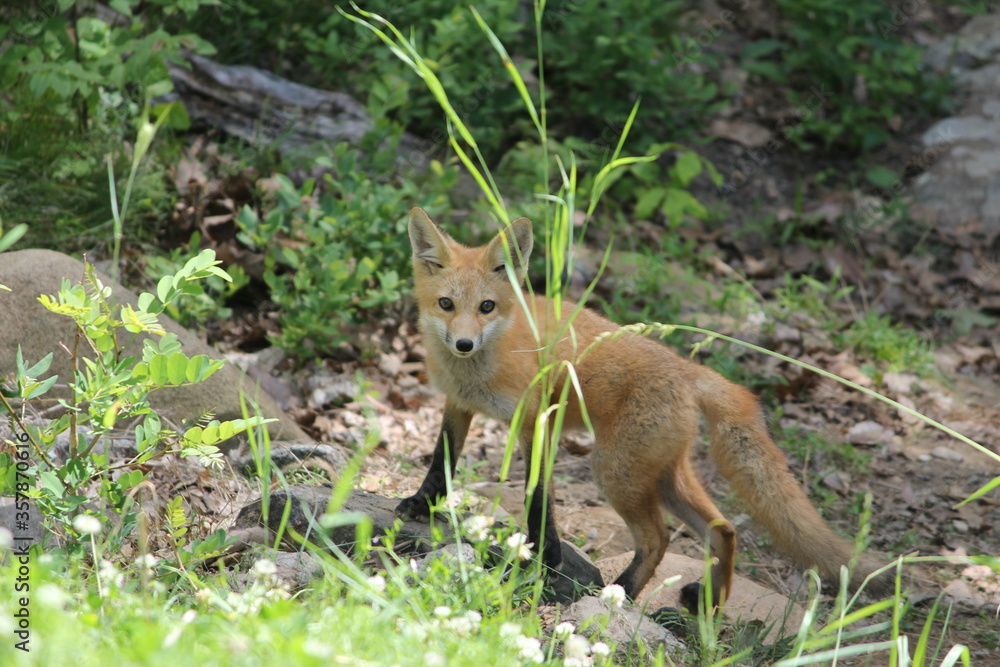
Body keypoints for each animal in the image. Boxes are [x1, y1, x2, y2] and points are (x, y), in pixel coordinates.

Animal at [396, 206, 891, 607]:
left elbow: (539, 498)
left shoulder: (535, 422)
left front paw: (544, 558)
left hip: (615, 470)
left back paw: (621, 594)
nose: (463, 343)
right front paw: (422, 505)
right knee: (722, 528)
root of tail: (687, 370)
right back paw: (708, 603)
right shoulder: (458, 404)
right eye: (446, 304)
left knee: (659, 538)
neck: (478, 370)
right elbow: (442, 460)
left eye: (486, 306)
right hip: (659, 473)